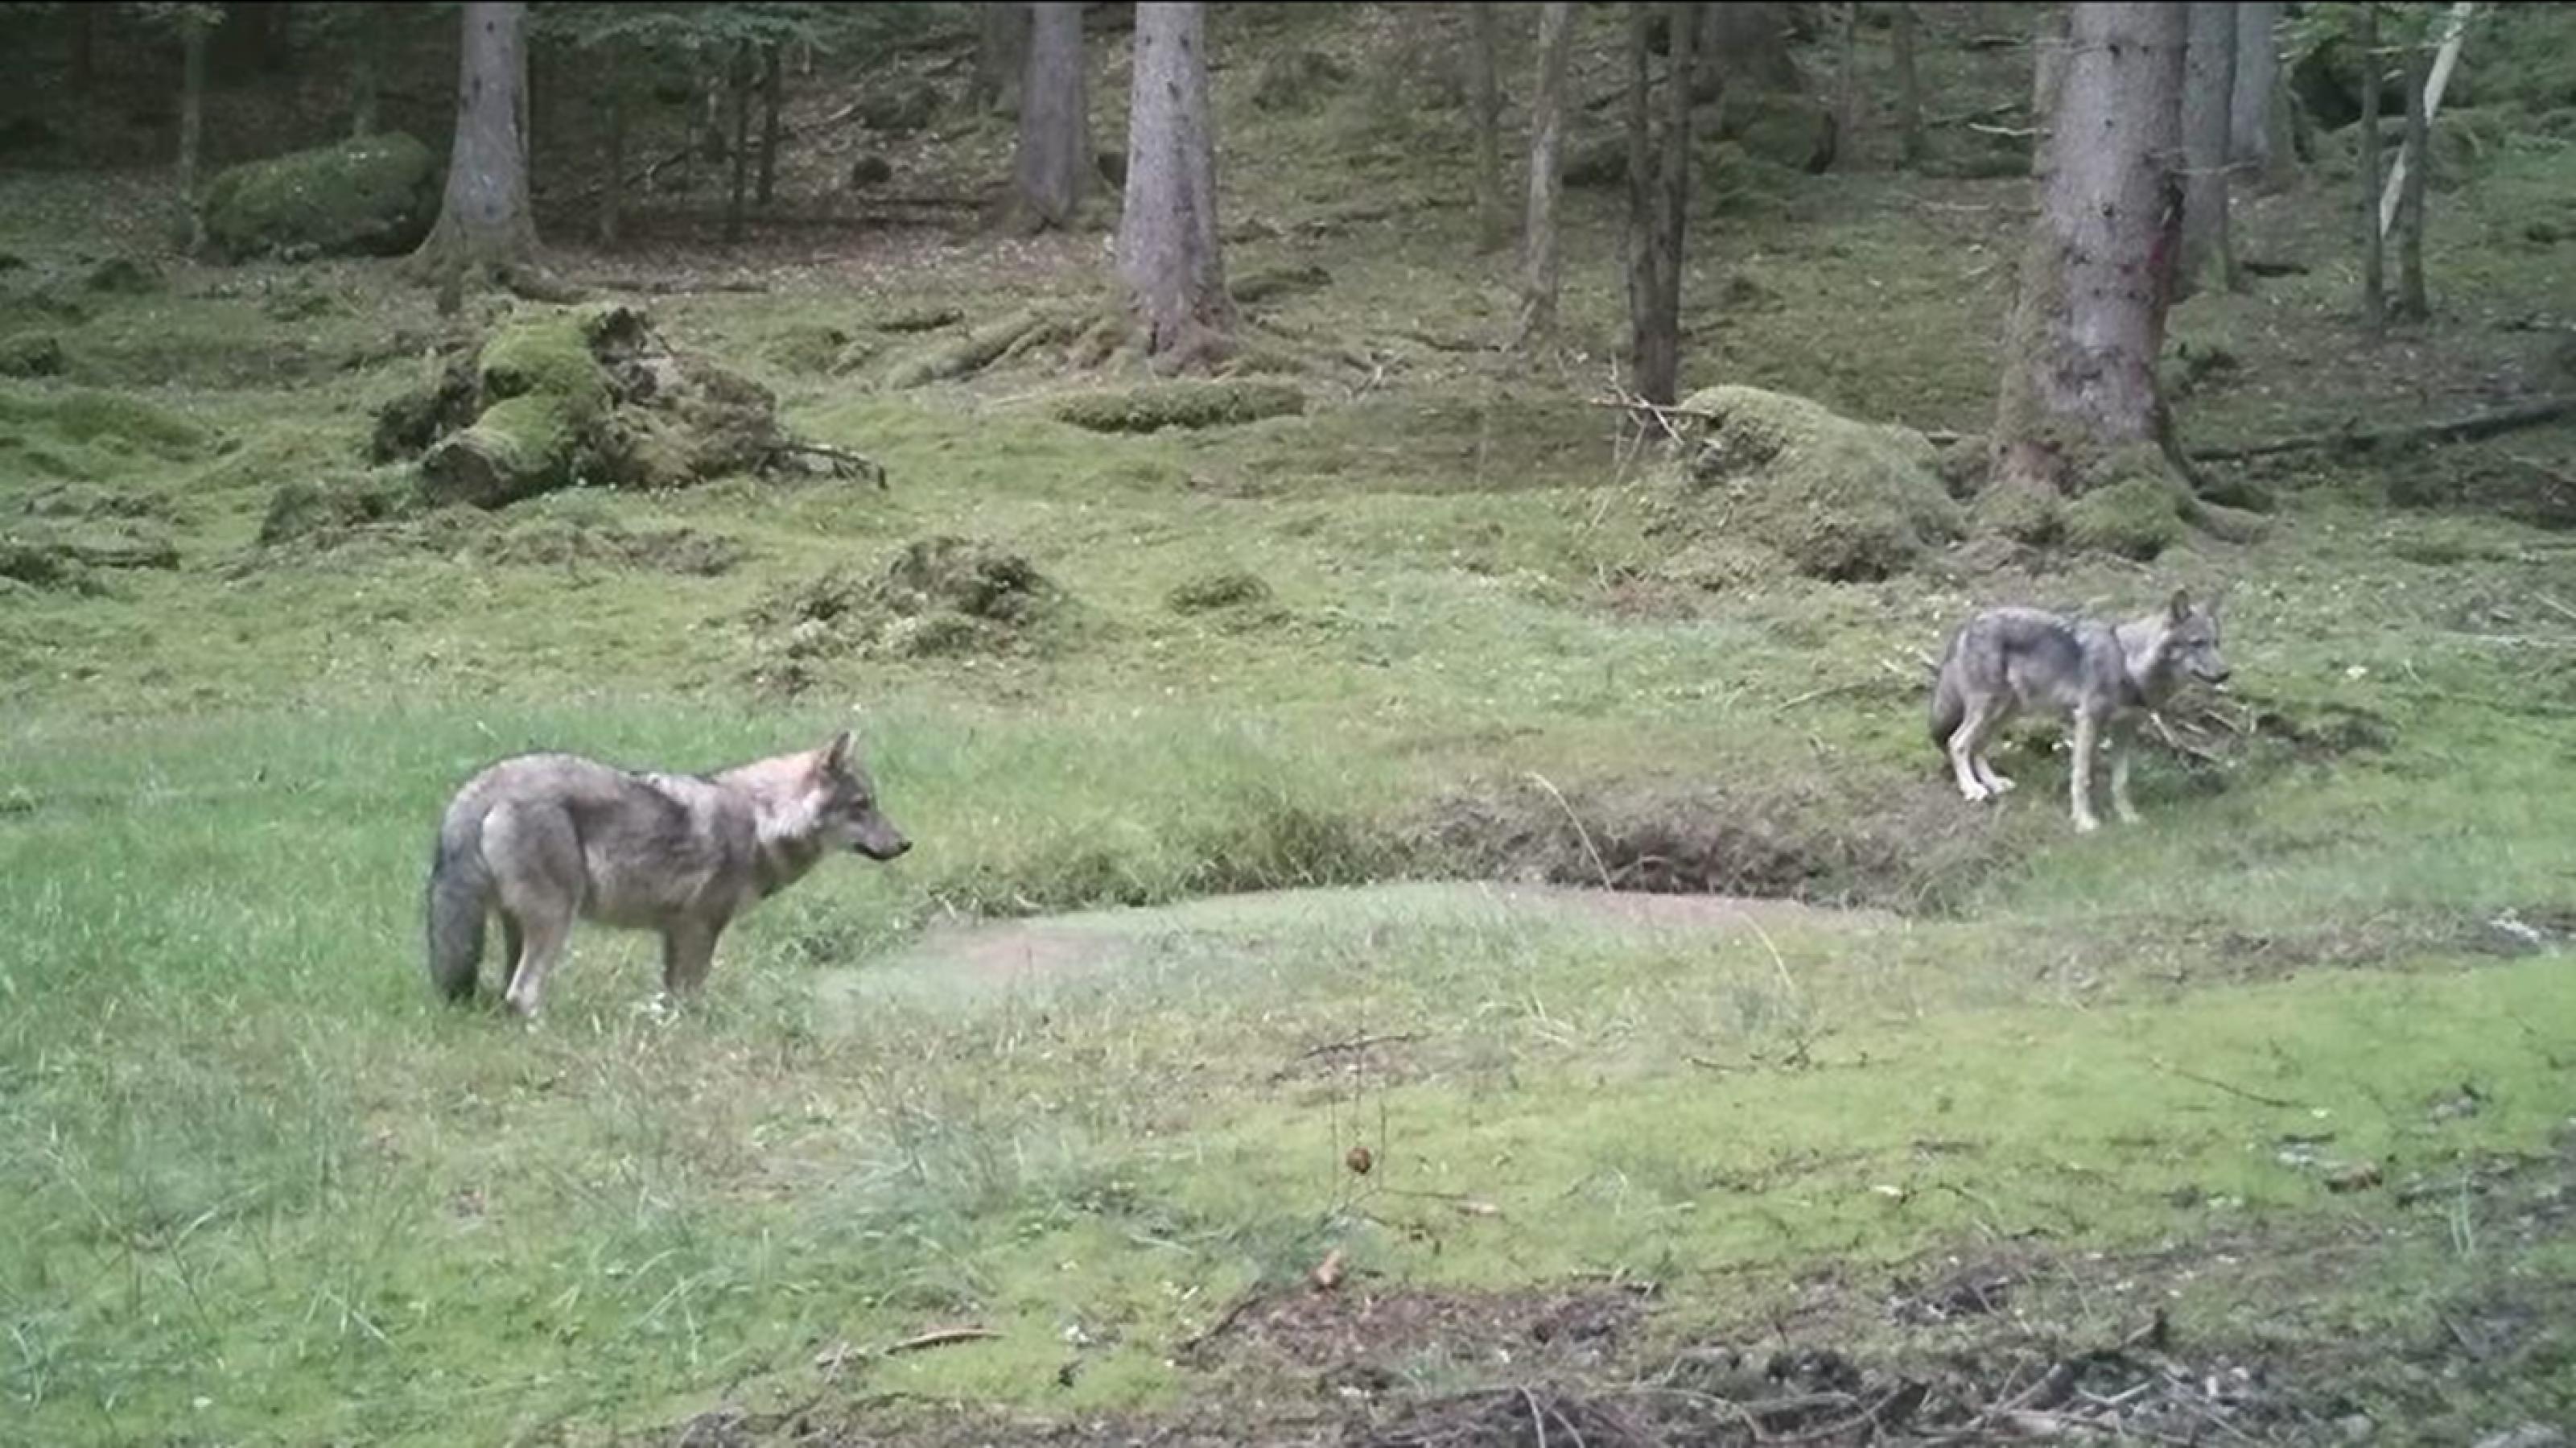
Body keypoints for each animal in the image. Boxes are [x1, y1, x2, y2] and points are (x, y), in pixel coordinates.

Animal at [424, 730, 910, 1018]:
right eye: (862, 806)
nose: (906, 844)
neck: (763, 821)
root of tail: (480, 787)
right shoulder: (700, 929)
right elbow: (692, 996)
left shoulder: (676, 932)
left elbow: (672, 996)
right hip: (556, 922)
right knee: (521, 992)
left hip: (520, 927)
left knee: (510, 991)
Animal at [1929, 589, 2231, 832]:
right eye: (2197, 643)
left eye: (2217, 643)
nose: (2227, 673)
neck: (2128, 664)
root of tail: (1967, 624)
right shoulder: (2087, 721)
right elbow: (2081, 778)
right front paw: (2085, 822)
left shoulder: (2125, 728)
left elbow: (2121, 781)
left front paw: (2129, 818)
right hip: (1990, 708)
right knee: (1957, 743)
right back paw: (1972, 789)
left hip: (2005, 712)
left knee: (1977, 747)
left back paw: (1994, 783)